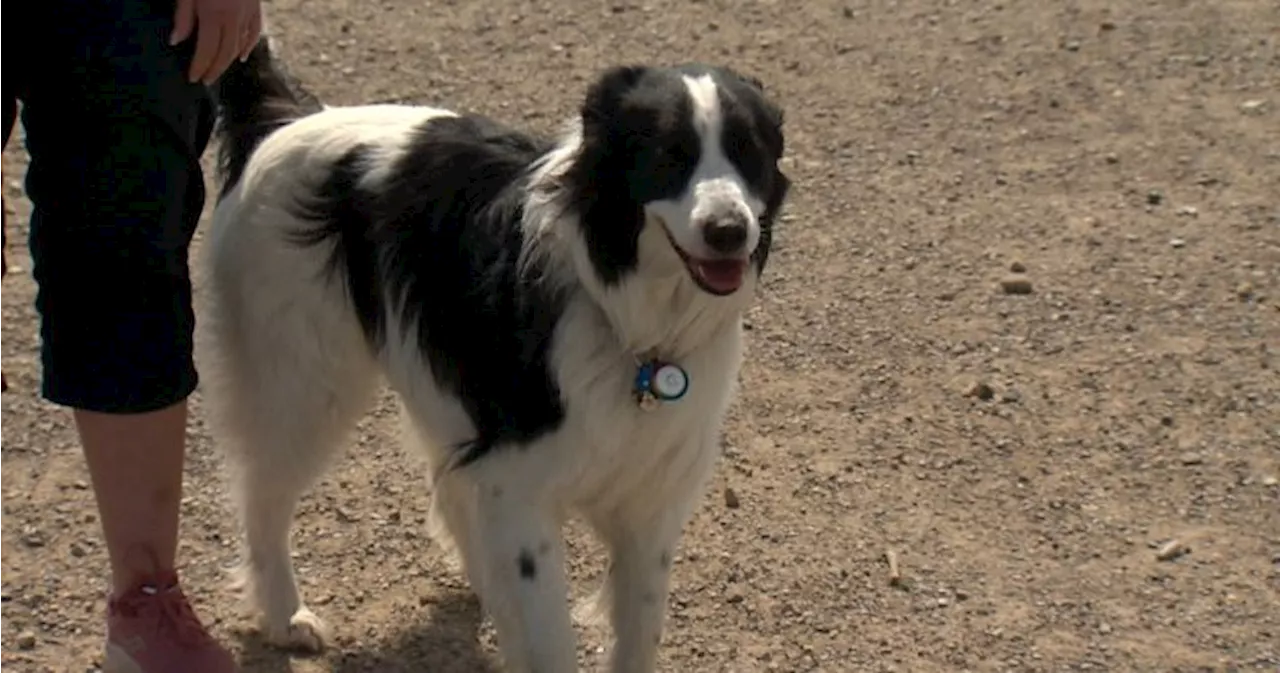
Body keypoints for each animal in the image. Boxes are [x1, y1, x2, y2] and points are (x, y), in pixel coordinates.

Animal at [203, 38, 783, 673]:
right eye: (669, 155)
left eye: (750, 153)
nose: (730, 231)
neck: (629, 322)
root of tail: (285, 117)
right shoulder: (522, 489)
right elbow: (550, 639)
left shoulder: (649, 500)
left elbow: (636, 635)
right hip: (305, 387)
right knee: (262, 498)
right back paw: (285, 616)